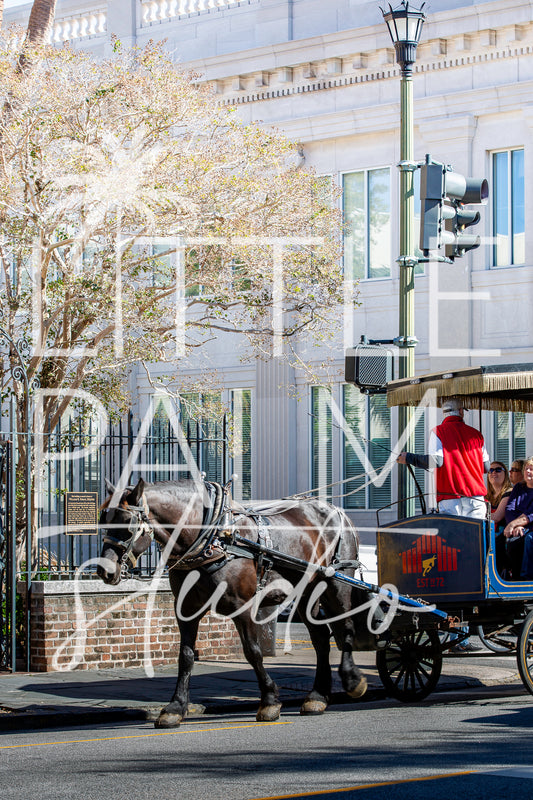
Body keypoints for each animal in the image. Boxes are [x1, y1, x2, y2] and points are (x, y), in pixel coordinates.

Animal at [97, 478, 376, 728]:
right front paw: (175, 708)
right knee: (320, 639)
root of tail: (337, 511)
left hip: (337, 583)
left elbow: (253, 652)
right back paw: (317, 697)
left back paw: (352, 681)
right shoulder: (186, 609)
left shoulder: (242, 606)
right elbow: (185, 656)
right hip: (307, 593)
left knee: (346, 628)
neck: (212, 538)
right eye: (102, 520)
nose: (104, 571)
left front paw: (269, 701)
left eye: (127, 524)